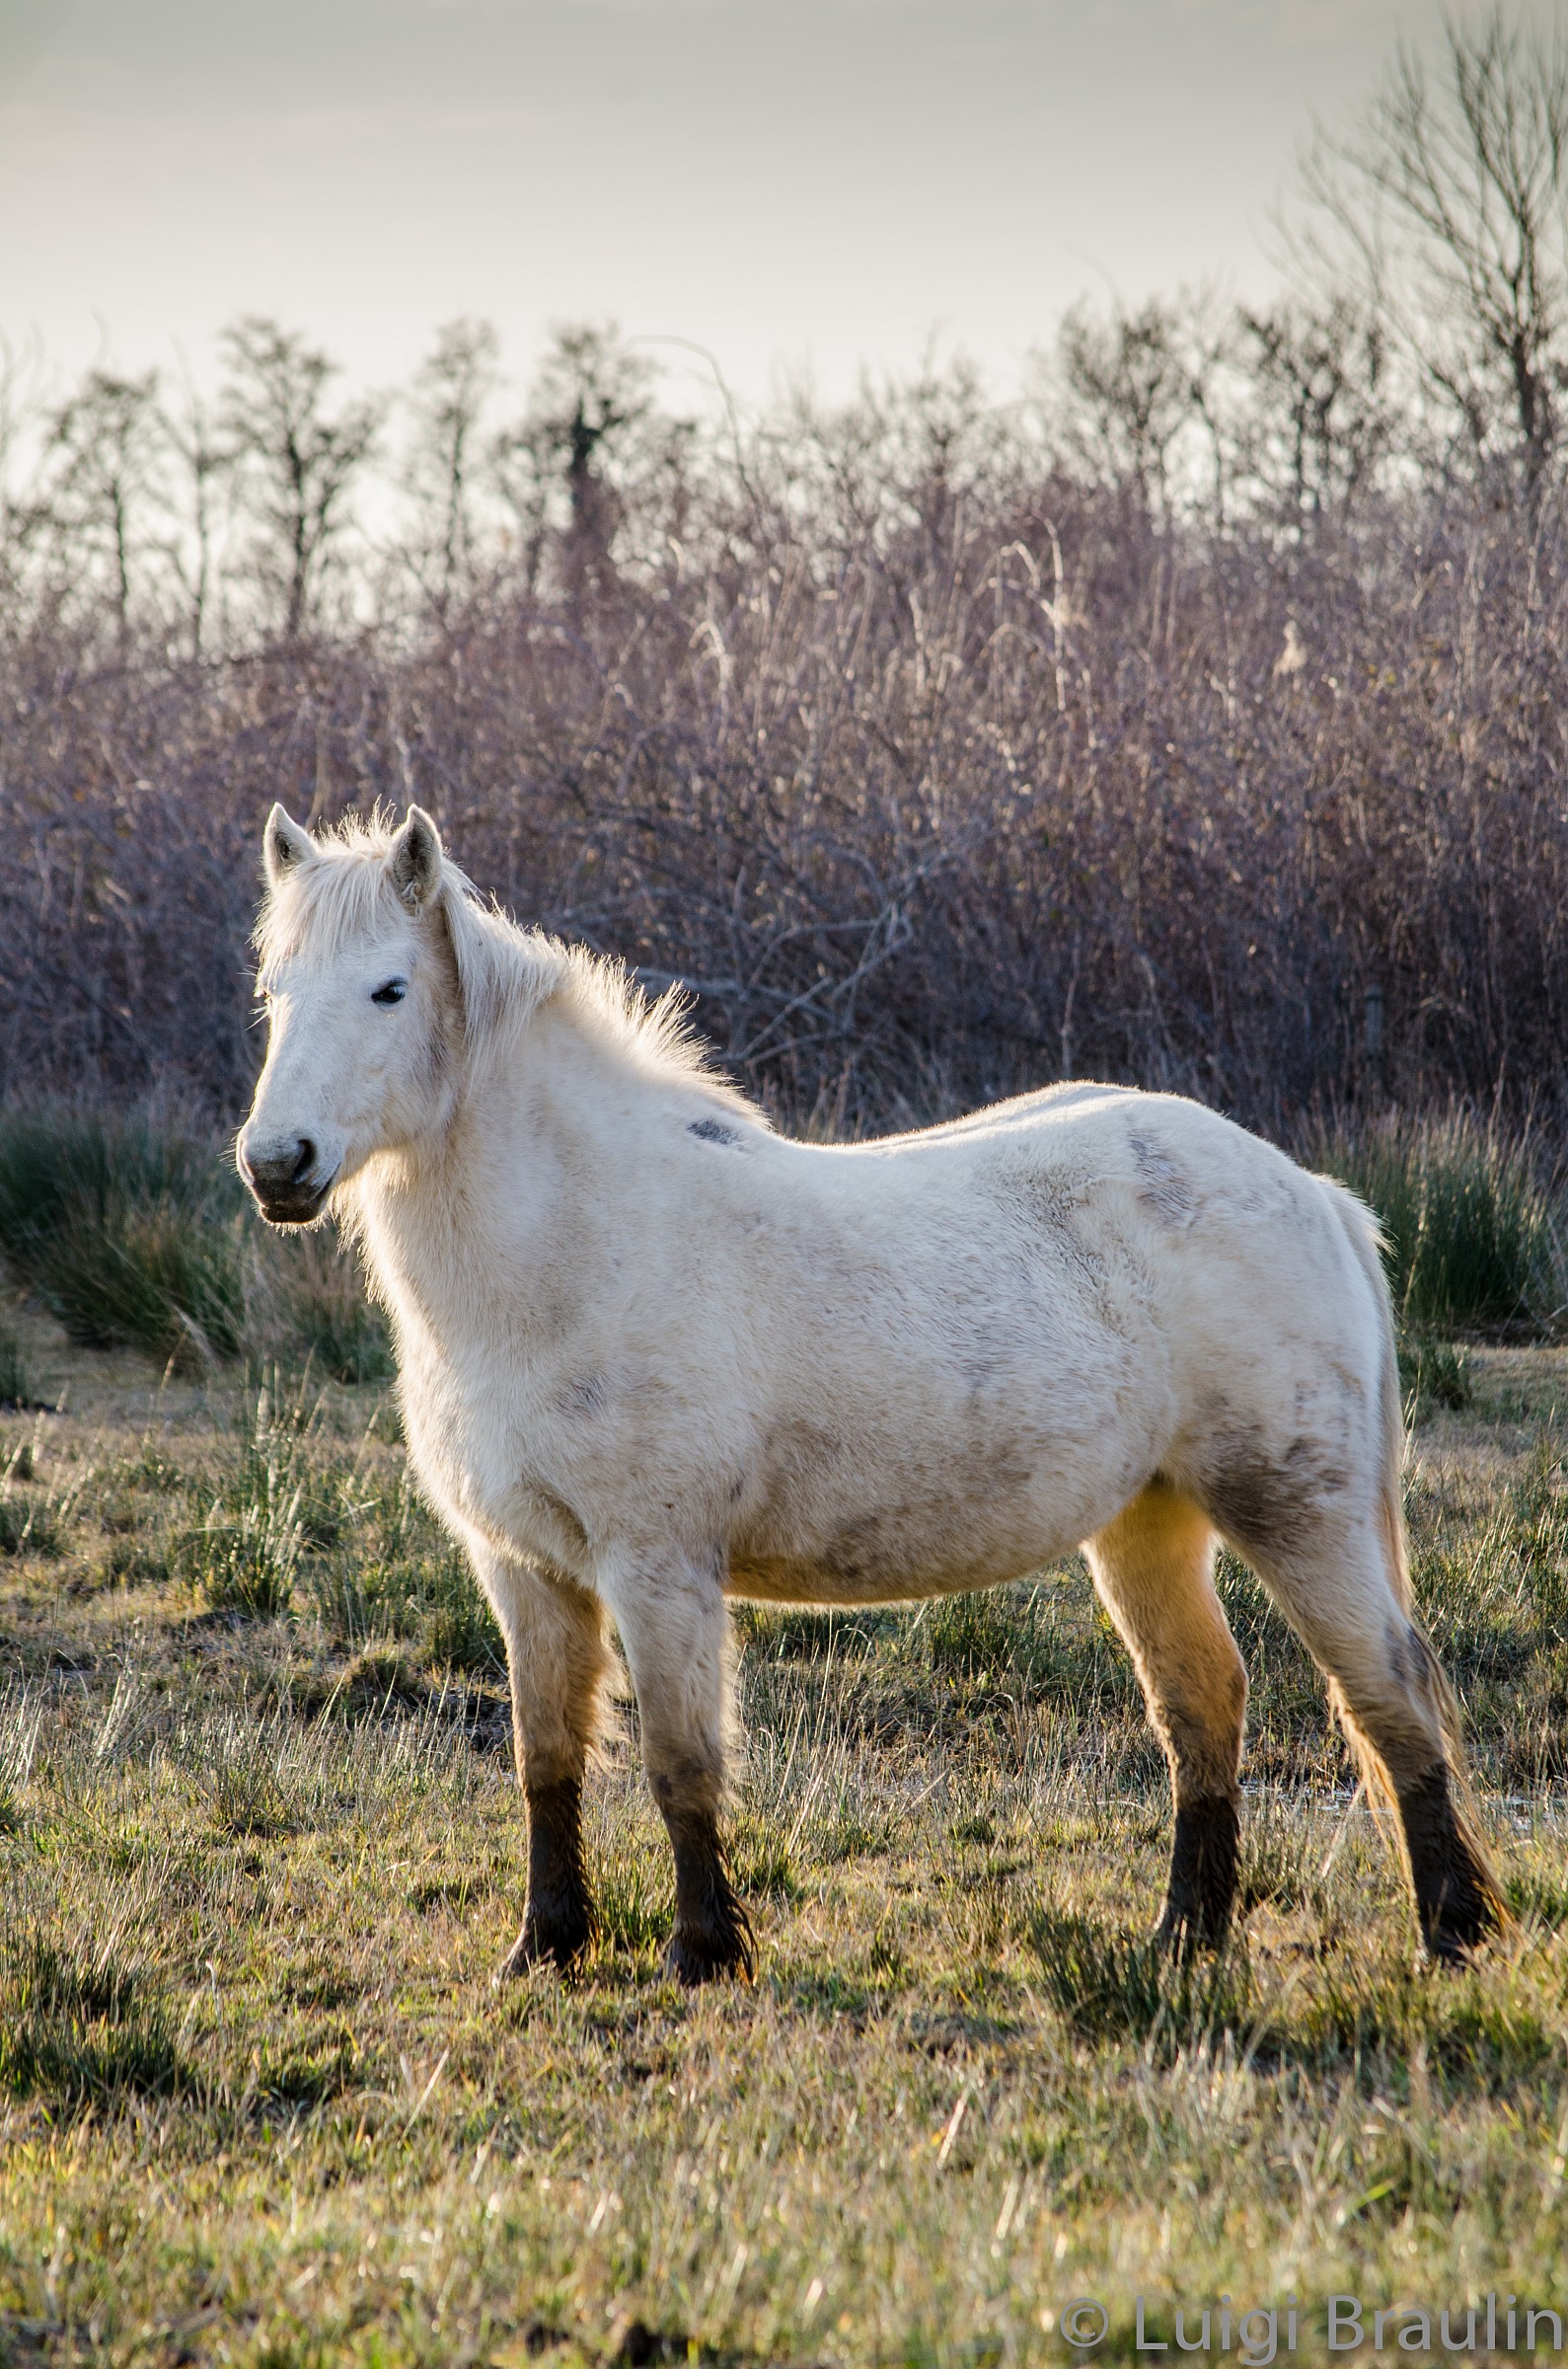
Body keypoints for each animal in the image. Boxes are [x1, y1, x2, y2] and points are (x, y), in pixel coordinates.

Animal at [237, 802, 1505, 1984]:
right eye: (273, 992)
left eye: (389, 989)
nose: (275, 1165)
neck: (579, 1247)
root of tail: (1311, 1192)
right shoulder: (525, 1571)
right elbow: (544, 1759)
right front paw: (544, 1946)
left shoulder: (657, 1568)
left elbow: (679, 1764)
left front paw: (703, 1952)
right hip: (1146, 1521)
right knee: (1201, 1705)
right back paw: (1182, 1937)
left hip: (1295, 1512)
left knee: (1386, 1694)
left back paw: (1451, 1930)